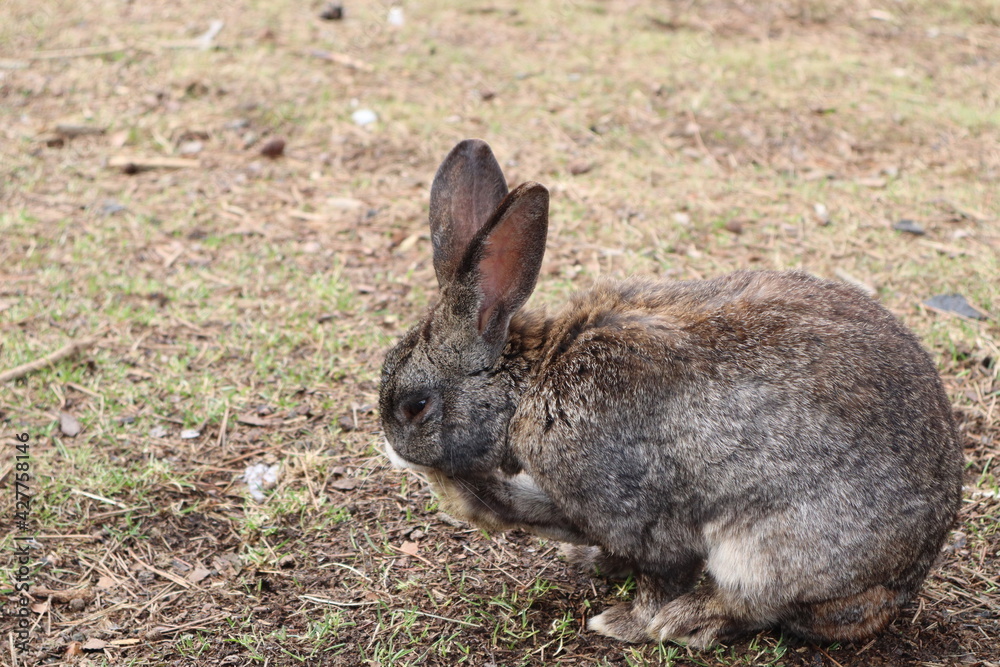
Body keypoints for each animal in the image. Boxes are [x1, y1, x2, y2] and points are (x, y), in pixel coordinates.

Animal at [378, 139, 963, 648]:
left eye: (416, 405)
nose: (390, 446)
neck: (532, 382)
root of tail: (906, 578)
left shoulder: (639, 513)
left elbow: (658, 573)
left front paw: (626, 622)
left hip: (770, 551)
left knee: (761, 605)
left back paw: (690, 621)